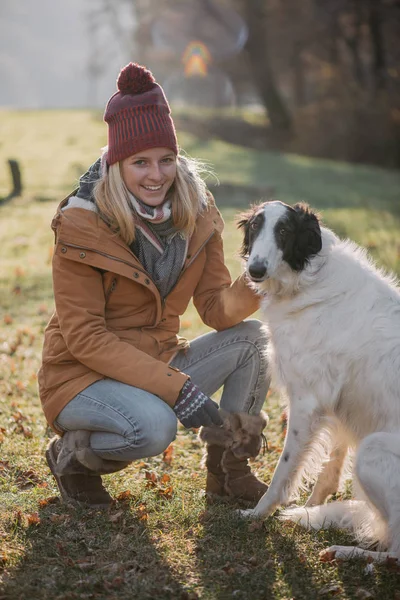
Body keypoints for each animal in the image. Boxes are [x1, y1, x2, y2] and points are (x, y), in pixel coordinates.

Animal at [236, 200, 400, 564]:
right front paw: (310, 508)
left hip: (372, 449)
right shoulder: (338, 406)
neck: (308, 281)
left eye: (284, 230)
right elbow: (328, 472)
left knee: (396, 552)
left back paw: (346, 551)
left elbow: (284, 472)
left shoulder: (307, 402)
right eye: (255, 226)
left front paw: (258, 514)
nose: (255, 270)